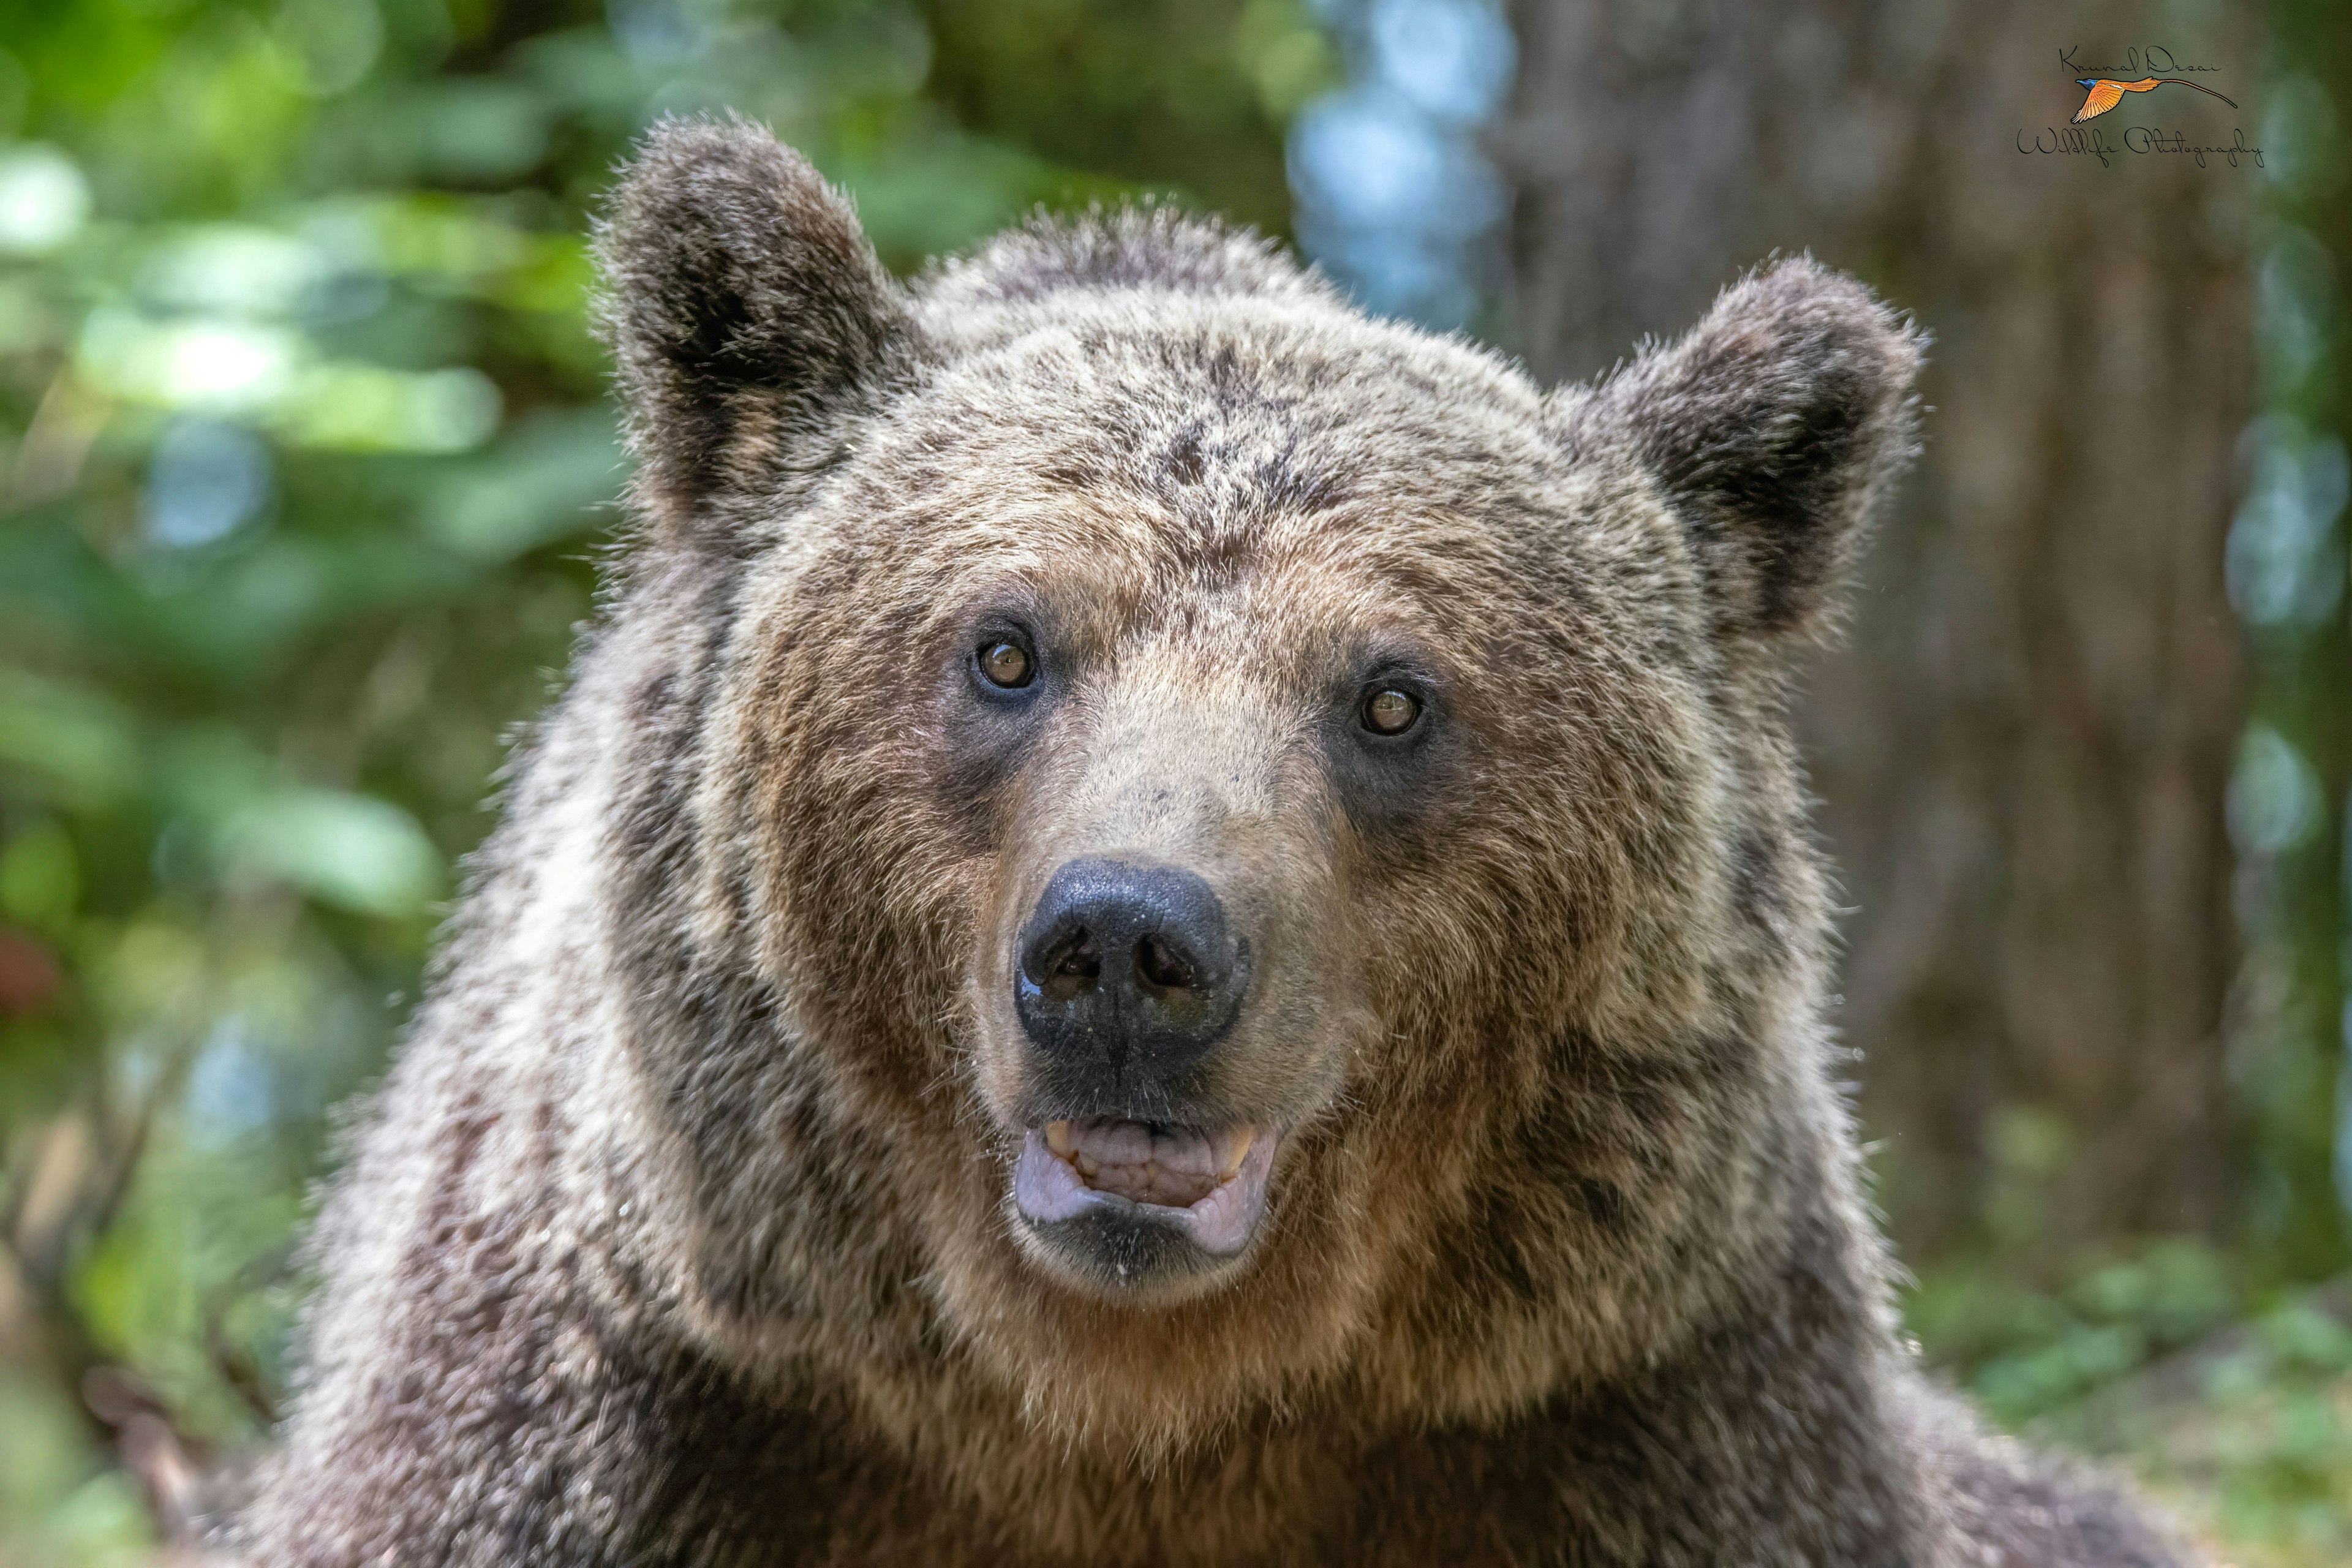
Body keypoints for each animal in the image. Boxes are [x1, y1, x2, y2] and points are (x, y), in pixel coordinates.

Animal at [234, 123, 2182, 1568]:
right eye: (1004, 646)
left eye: (1390, 695)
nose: (1125, 950)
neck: (1136, 1414)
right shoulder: (626, 1418)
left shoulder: (1632, 1419)